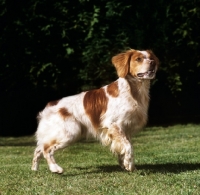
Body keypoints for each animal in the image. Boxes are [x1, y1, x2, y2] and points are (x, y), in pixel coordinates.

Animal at [31, 49, 159, 174]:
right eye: (138, 59)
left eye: (151, 58)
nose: (153, 63)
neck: (132, 90)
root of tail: (49, 105)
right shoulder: (114, 124)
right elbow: (128, 147)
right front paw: (129, 165)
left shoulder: (125, 128)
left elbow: (126, 147)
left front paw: (128, 165)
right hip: (71, 132)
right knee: (46, 149)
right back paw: (55, 168)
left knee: (38, 149)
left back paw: (34, 169)